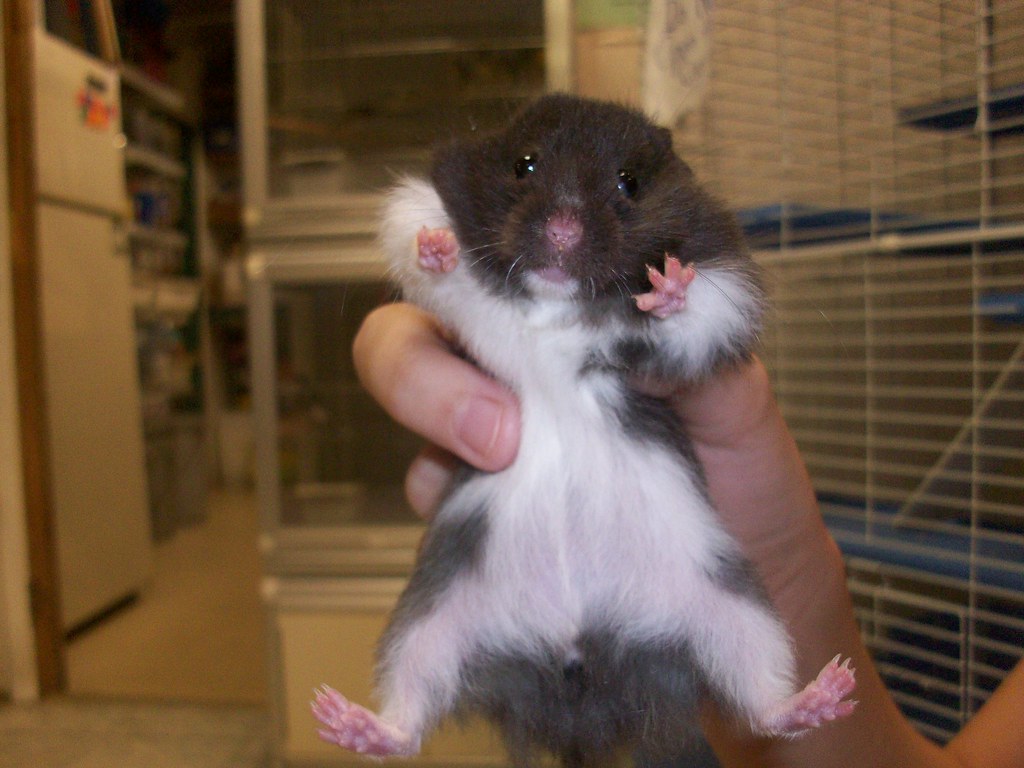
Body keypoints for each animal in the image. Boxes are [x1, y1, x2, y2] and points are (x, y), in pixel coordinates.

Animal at [313, 94, 856, 767]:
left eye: (629, 182)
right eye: (524, 164)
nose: (563, 233)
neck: (560, 304)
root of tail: (579, 668)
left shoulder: (721, 290)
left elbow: (698, 311)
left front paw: (667, 287)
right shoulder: (446, 257)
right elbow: (436, 257)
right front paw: (437, 246)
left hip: (739, 612)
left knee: (761, 703)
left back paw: (830, 691)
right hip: (426, 622)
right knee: (410, 713)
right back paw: (341, 720)